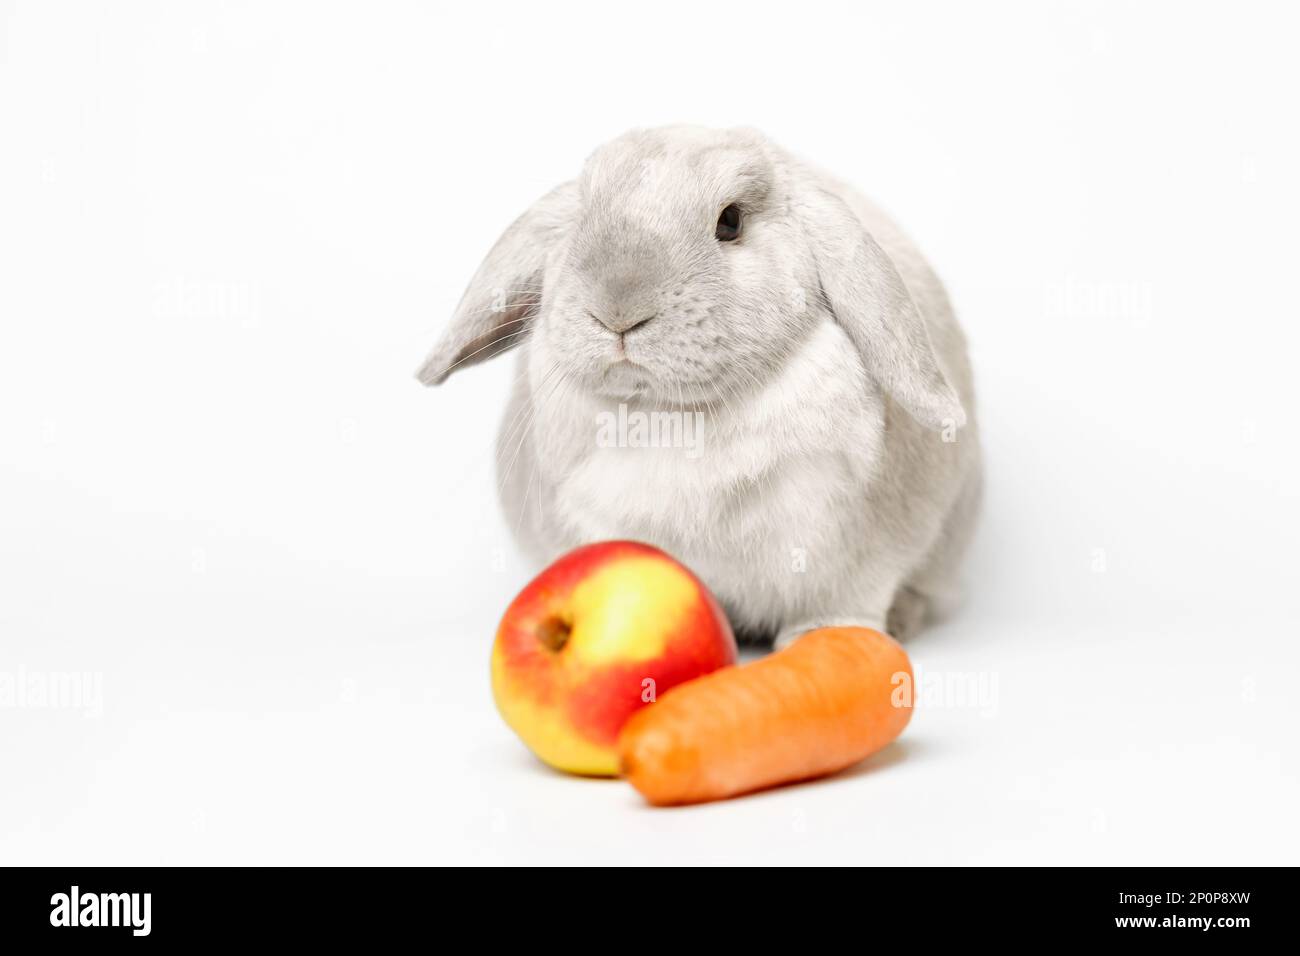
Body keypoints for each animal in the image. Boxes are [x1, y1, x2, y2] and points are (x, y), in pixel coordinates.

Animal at [417, 125, 981, 648]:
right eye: (580, 220)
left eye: (730, 221)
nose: (616, 310)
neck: (676, 415)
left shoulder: (855, 556)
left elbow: (846, 599)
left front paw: (824, 636)